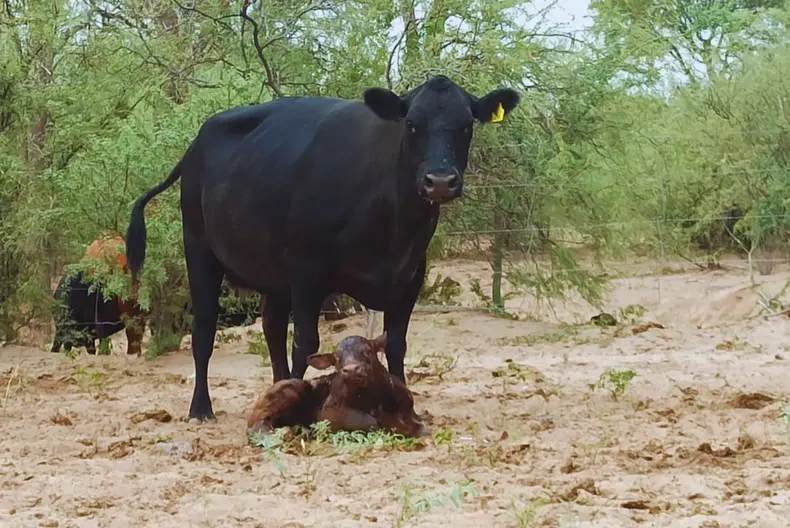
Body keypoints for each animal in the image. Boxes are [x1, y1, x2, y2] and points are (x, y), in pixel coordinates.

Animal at [125, 74, 520, 422]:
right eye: (411, 124)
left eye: (466, 125)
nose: (439, 181)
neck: (392, 229)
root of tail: (196, 145)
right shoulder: (306, 272)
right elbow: (306, 342)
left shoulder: (410, 276)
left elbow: (395, 344)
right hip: (199, 248)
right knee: (205, 329)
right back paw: (201, 409)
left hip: (272, 273)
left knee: (271, 327)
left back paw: (275, 387)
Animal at [246, 333, 430, 438]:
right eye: (337, 358)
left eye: (368, 351)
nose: (351, 369)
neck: (369, 398)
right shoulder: (329, 413)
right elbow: (369, 421)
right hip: (291, 389)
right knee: (256, 428)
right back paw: (286, 434)